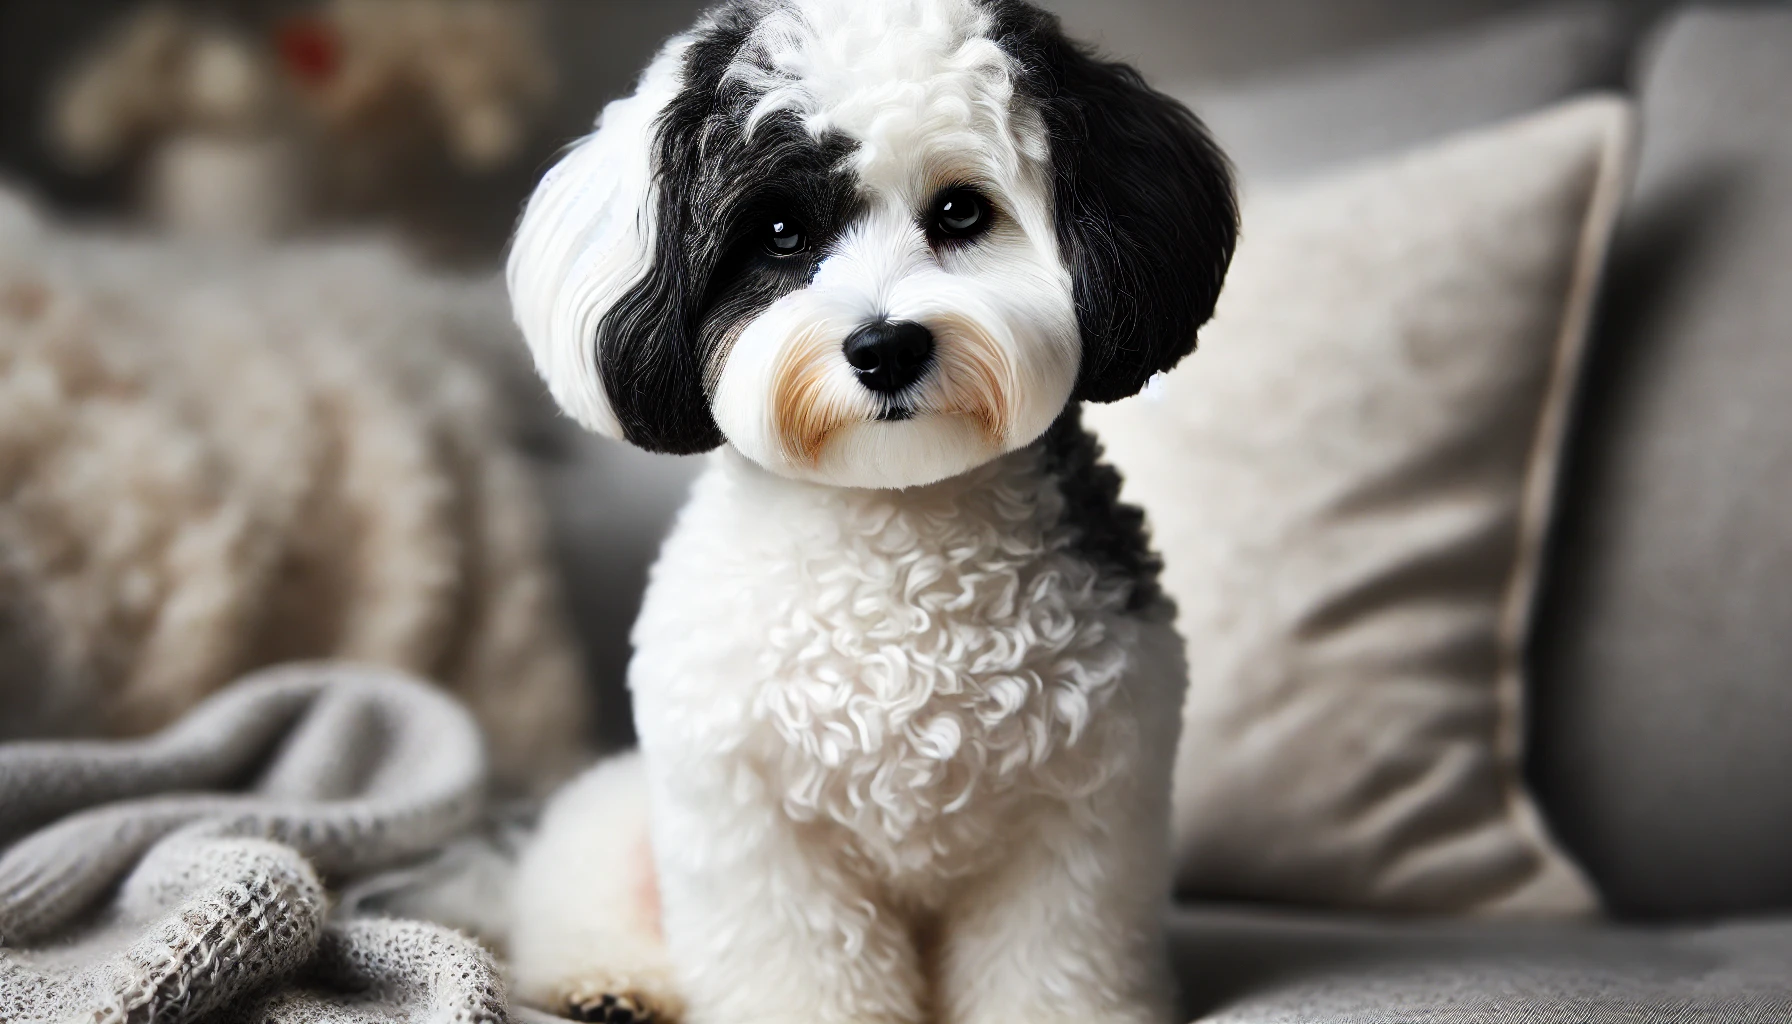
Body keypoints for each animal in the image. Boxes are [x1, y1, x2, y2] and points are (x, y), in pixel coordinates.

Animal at [501, 2, 1232, 1024]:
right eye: (778, 232)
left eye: (961, 211)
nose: (885, 347)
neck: (896, 520)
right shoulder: (754, 825)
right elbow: (795, 963)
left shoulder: (1080, 820)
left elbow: (1053, 959)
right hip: (619, 823)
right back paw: (609, 983)